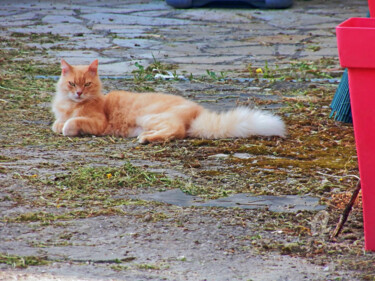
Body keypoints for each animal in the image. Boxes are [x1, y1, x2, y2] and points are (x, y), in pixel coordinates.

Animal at [52, 58, 288, 142]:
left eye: (87, 84)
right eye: (72, 84)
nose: (79, 93)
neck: (71, 105)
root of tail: (198, 112)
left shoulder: (98, 122)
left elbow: (72, 123)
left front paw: (67, 128)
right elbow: (57, 124)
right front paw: (60, 124)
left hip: (151, 117)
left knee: (178, 131)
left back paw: (146, 139)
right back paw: (148, 137)